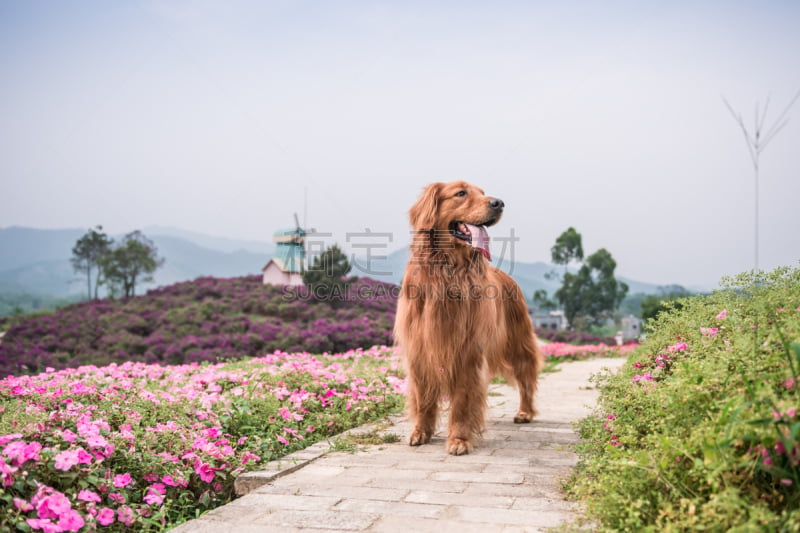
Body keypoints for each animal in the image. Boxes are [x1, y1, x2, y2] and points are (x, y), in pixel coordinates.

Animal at [394, 182, 544, 454]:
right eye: (460, 193)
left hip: (517, 341)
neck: (448, 271)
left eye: (483, 192)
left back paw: (525, 412)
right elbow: (423, 397)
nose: (499, 203)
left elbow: (463, 401)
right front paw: (421, 432)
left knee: (526, 377)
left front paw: (459, 439)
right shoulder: (420, 348)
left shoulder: (468, 349)